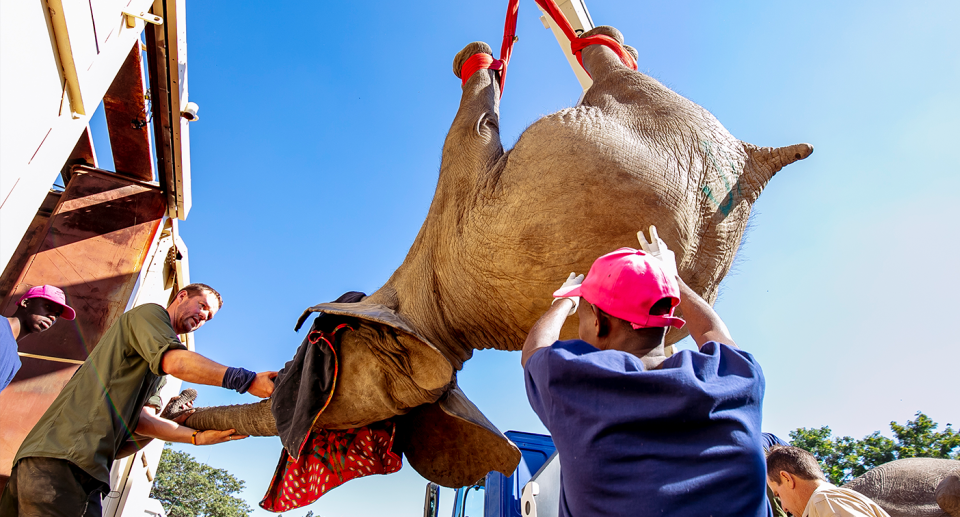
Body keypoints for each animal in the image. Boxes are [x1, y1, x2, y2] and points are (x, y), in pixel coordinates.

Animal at [186, 26, 808, 488]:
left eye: (303, 353)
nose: (182, 408)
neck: (437, 322)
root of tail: (758, 161)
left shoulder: (457, 196)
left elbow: (473, 127)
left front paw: (475, 59)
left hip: (643, 109)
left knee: (613, 71)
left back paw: (593, 40)